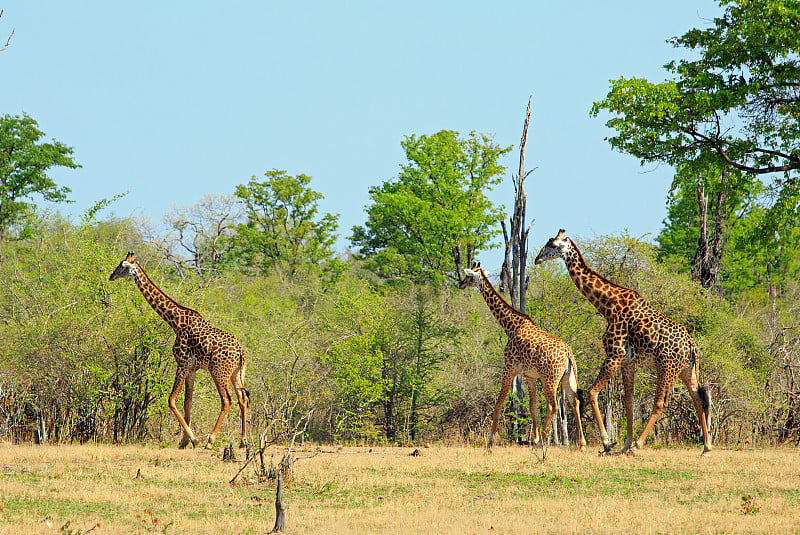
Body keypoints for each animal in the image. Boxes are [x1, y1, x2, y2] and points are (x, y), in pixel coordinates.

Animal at [108, 253, 248, 450]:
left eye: (122, 265)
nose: (111, 276)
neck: (175, 322)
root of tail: (241, 353)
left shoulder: (181, 364)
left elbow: (171, 400)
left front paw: (194, 439)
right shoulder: (191, 368)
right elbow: (187, 402)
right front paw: (184, 441)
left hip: (219, 372)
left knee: (227, 400)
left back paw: (210, 441)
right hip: (236, 373)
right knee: (243, 399)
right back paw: (243, 441)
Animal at [460, 266, 584, 450]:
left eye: (469, 276)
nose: (460, 284)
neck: (510, 327)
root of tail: (569, 353)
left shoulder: (509, 368)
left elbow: (499, 403)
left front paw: (490, 441)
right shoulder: (530, 376)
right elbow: (532, 407)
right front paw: (535, 439)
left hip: (549, 379)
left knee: (554, 406)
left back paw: (545, 441)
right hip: (566, 377)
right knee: (574, 401)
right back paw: (581, 443)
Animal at [536, 230, 712, 456]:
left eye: (552, 245)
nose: (537, 258)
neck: (608, 307)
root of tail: (692, 346)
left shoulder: (614, 354)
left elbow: (592, 392)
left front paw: (608, 442)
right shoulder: (628, 361)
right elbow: (628, 400)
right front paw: (625, 443)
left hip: (667, 367)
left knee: (660, 402)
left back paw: (638, 446)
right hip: (686, 369)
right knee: (697, 398)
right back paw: (706, 446)